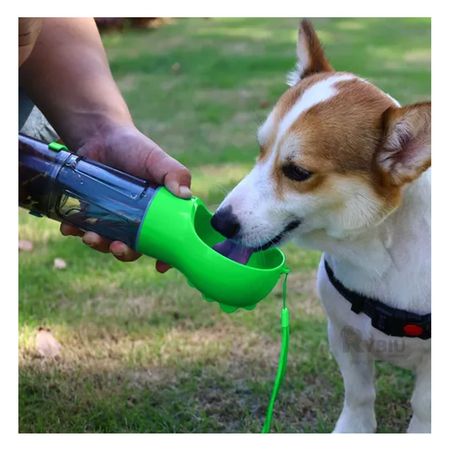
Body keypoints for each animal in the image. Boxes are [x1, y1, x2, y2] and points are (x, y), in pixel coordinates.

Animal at [213, 20, 430, 432]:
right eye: (260, 150)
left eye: (297, 172)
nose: (219, 222)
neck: (376, 256)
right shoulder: (343, 335)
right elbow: (359, 394)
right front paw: (354, 429)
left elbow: (423, 405)